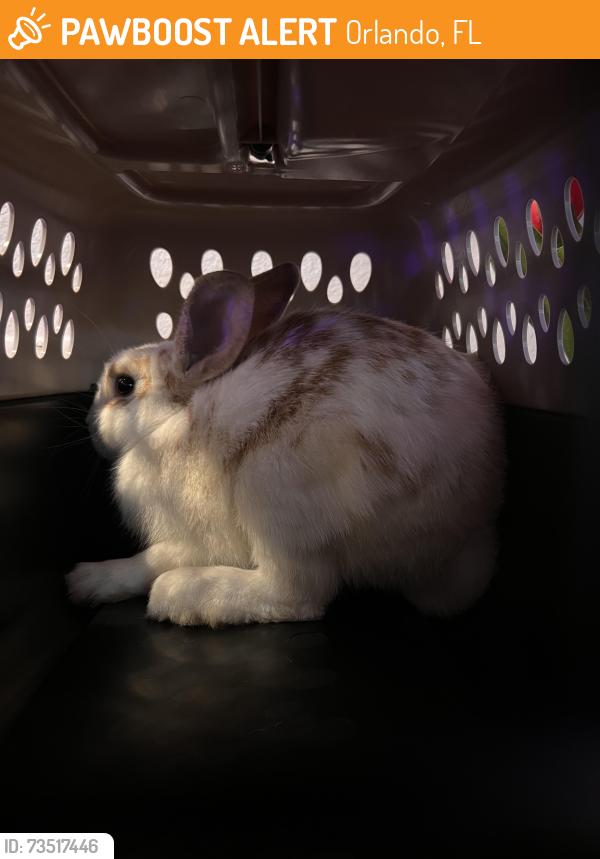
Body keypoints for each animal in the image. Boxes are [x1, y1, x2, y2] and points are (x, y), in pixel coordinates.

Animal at [67, 262, 505, 627]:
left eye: (124, 384)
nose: (88, 423)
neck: (174, 419)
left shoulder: (201, 538)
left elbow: (151, 558)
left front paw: (85, 579)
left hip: (275, 493)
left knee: (299, 594)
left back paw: (181, 596)